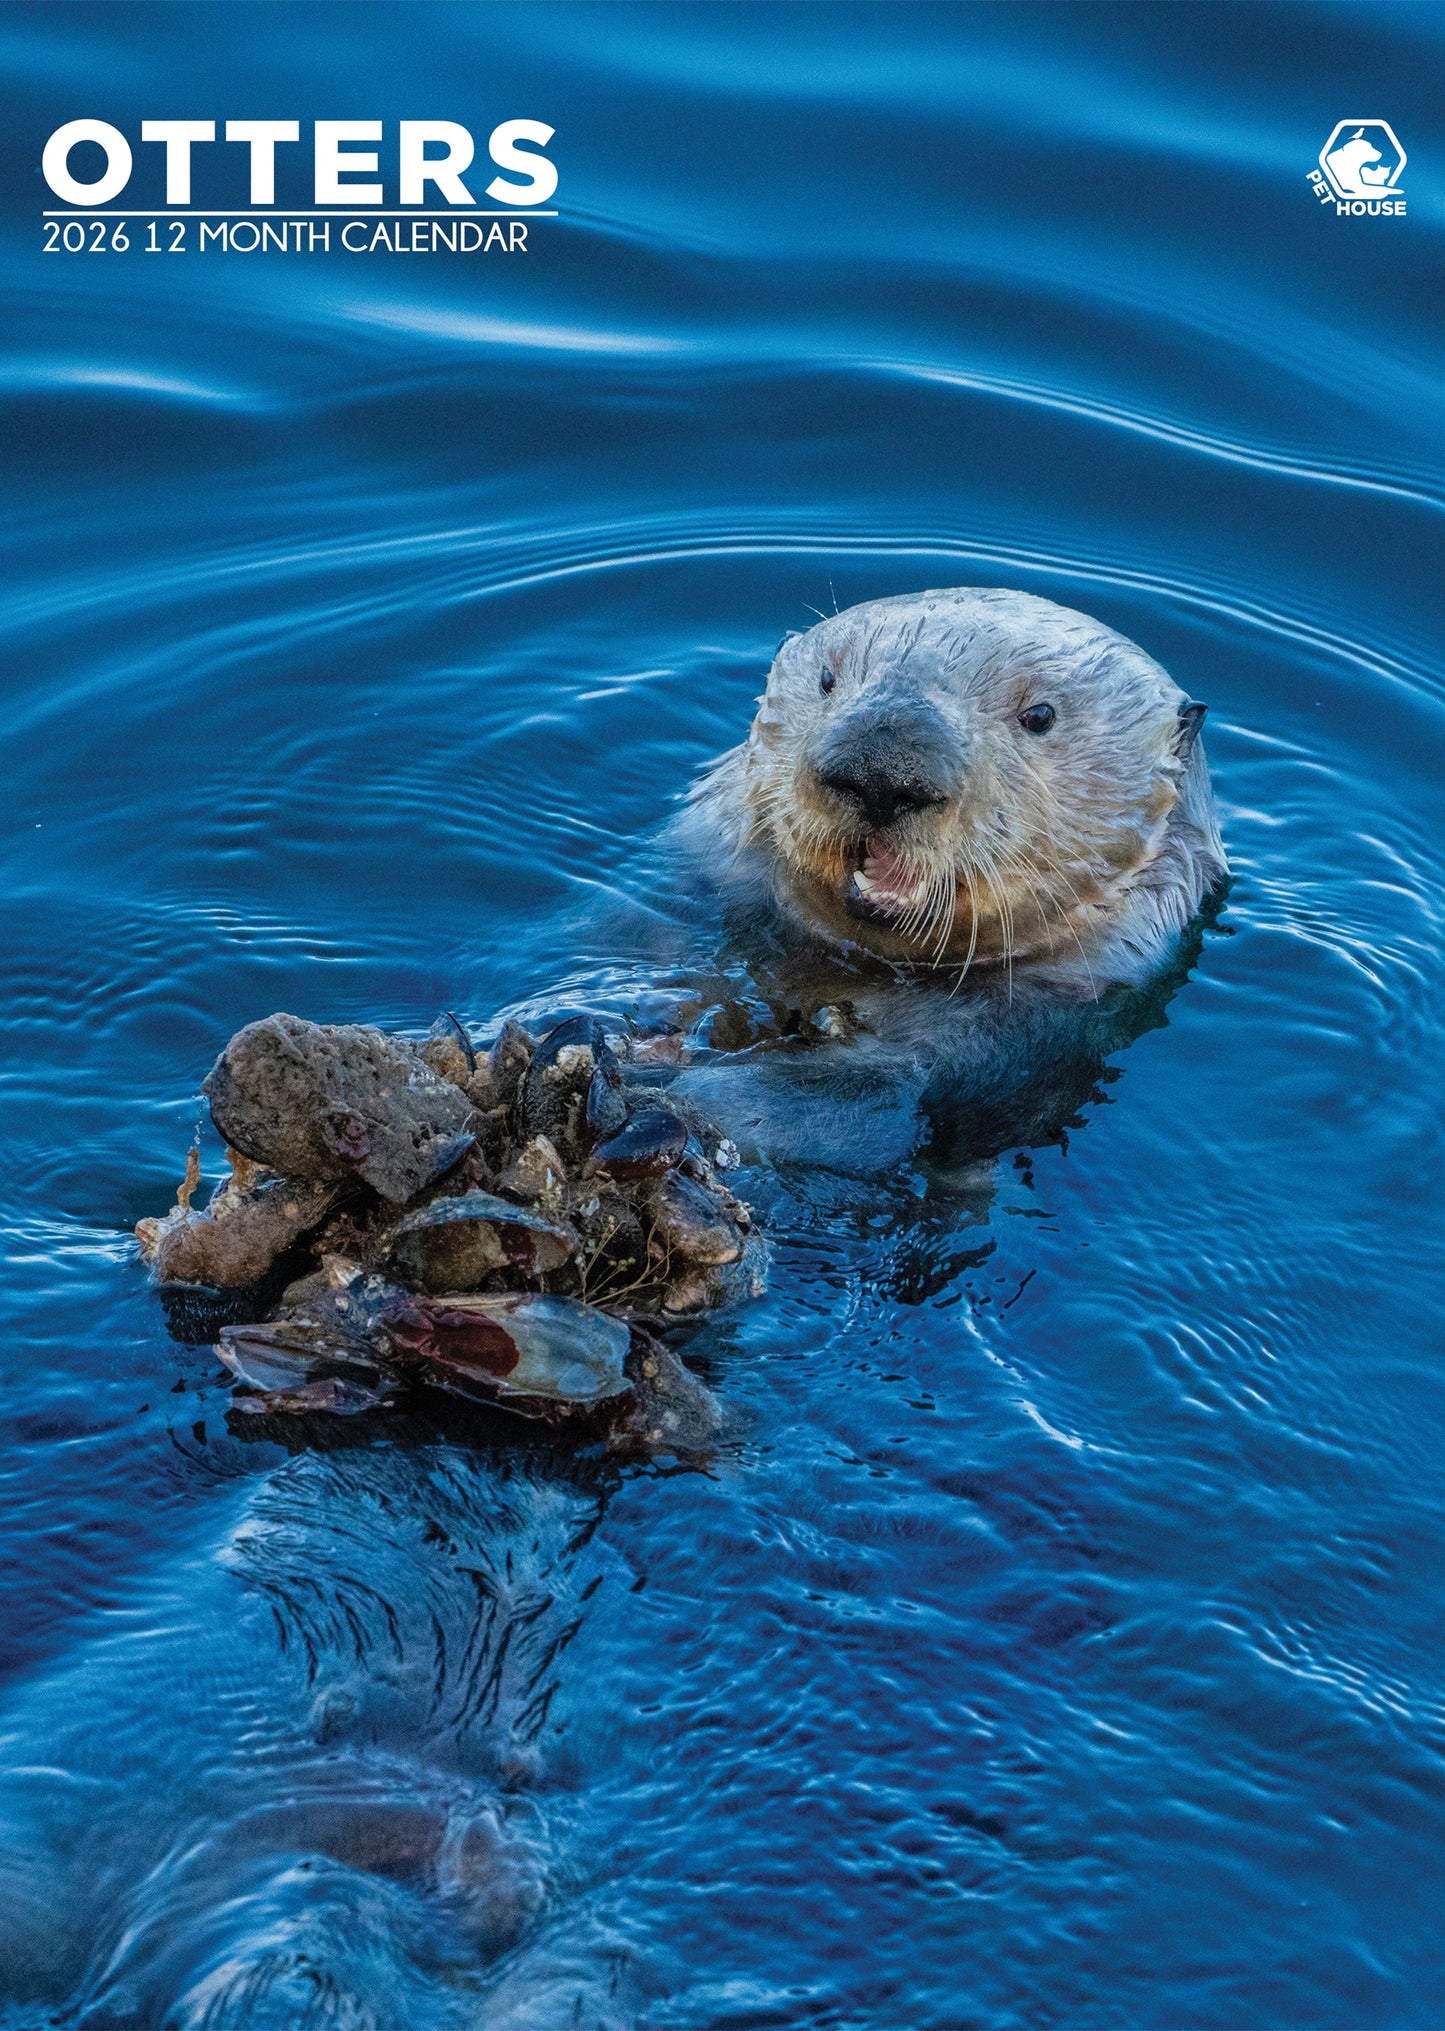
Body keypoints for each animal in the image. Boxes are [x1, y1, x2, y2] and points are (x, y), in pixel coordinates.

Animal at [661, 588, 1227, 1172]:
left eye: (1040, 715)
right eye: (827, 680)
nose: (880, 771)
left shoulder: (1029, 1028)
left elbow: (876, 1093)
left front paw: (683, 1103)